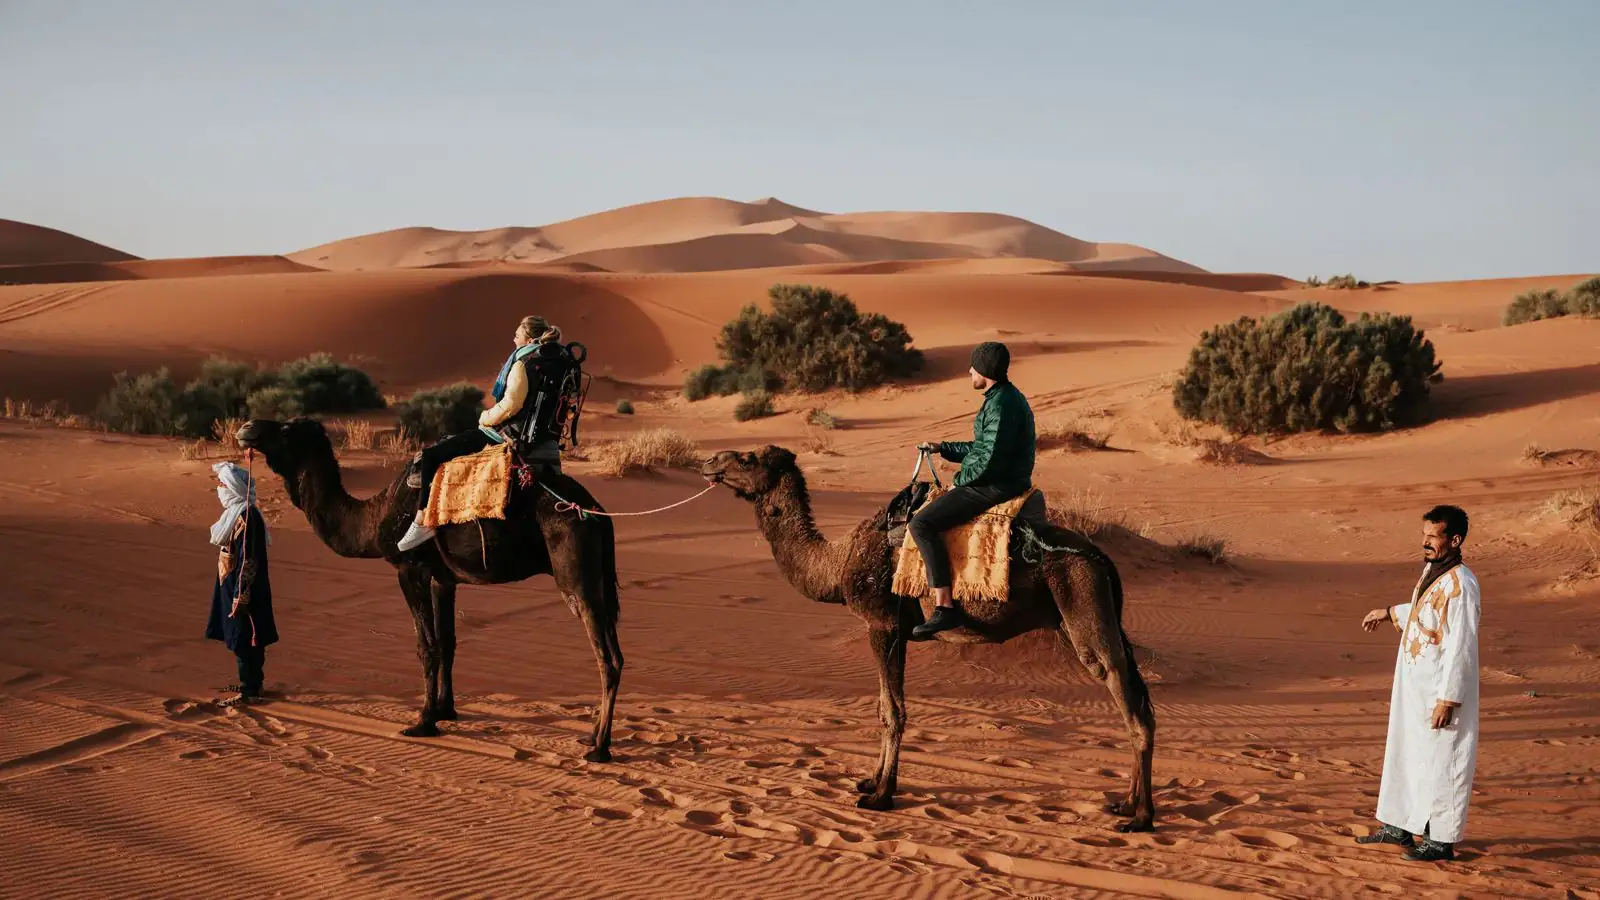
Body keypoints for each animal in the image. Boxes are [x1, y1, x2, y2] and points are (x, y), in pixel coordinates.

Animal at [236, 417, 623, 761]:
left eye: (286, 430)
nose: (246, 428)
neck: (374, 517)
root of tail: (597, 513)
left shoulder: (411, 570)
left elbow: (426, 646)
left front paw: (423, 722)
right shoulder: (443, 579)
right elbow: (447, 642)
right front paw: (444, 710)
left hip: (575, 574)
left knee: (605, 656)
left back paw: (600, 749)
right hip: (599, 577)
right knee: (615, 652)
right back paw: (591, 735)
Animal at [701, 446, 1157, 832]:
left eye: (747, 458)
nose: (709, 462)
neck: (839, 561)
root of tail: (1102, 558)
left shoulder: (881, 624)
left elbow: (892, 711)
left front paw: (882, 796)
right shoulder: (897, 633)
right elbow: (884, 707)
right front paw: (870, 781)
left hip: (1082, 603)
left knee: (1124, 697)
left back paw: (1141, 817)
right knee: (1137, 700)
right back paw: (1126, 804)